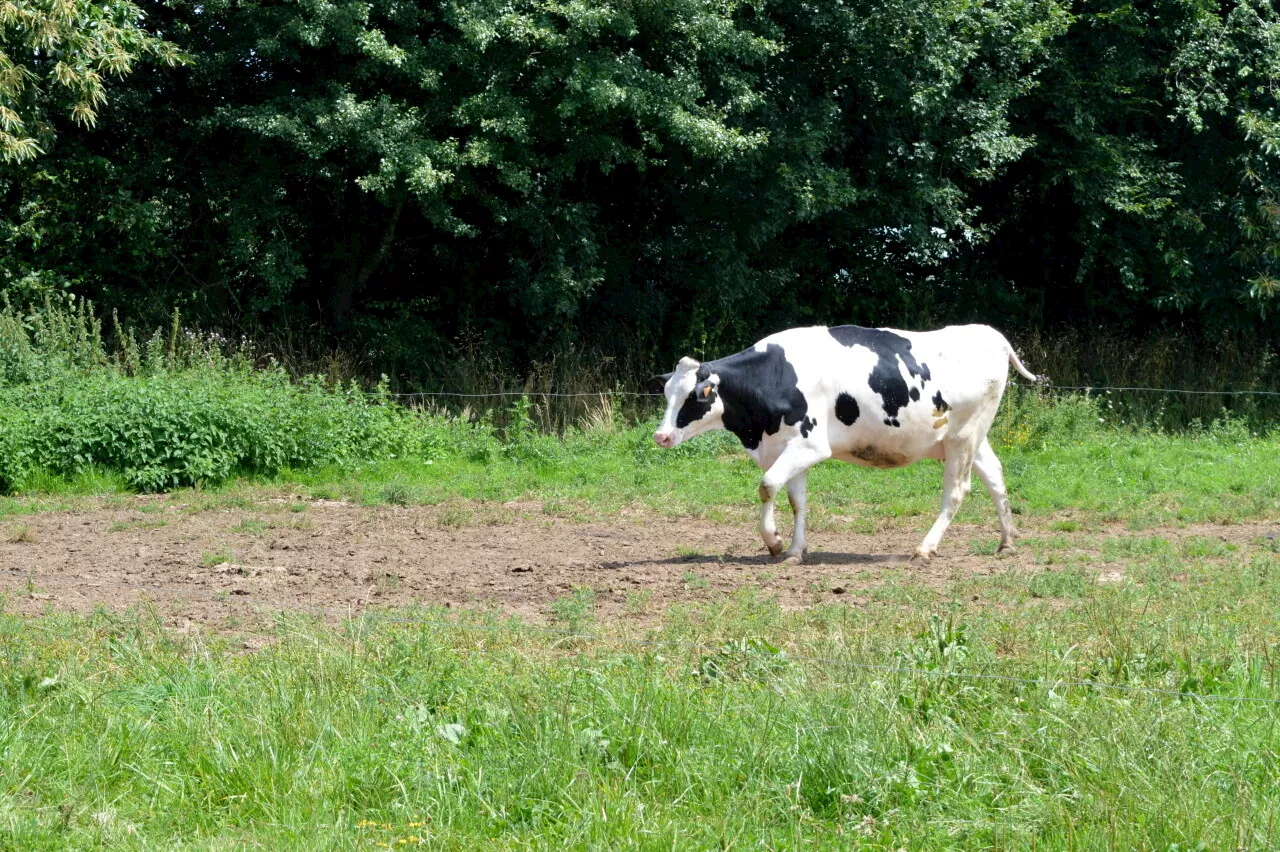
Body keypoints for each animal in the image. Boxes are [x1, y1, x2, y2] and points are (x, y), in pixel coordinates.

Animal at [655, 322, 1034, 560]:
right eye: (667, 393)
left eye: (693, 397)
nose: (661, 435)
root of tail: (991, 335)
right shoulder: (789, 447)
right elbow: (797, 501)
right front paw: (795, 551)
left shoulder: (809, 445)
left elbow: (767, 486)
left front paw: (774, 542)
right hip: (972, 437)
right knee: (995, 476)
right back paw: (1007, 542)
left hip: (963, 437)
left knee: (957, 491)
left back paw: (925, 548)